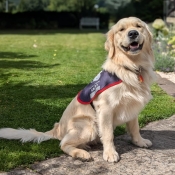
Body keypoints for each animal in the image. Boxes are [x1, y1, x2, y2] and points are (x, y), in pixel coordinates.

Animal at [0, 17, 155, 163]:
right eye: (121, 30)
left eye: (138, 26)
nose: (133, 33)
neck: (131, 67)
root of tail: (58, 128)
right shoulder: (105, 109)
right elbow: (108, 134)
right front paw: (110, 153)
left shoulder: (132, 106)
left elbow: (134, 128)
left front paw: (139, 142)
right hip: (89, 124)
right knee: (63, 144)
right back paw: (81, 153)